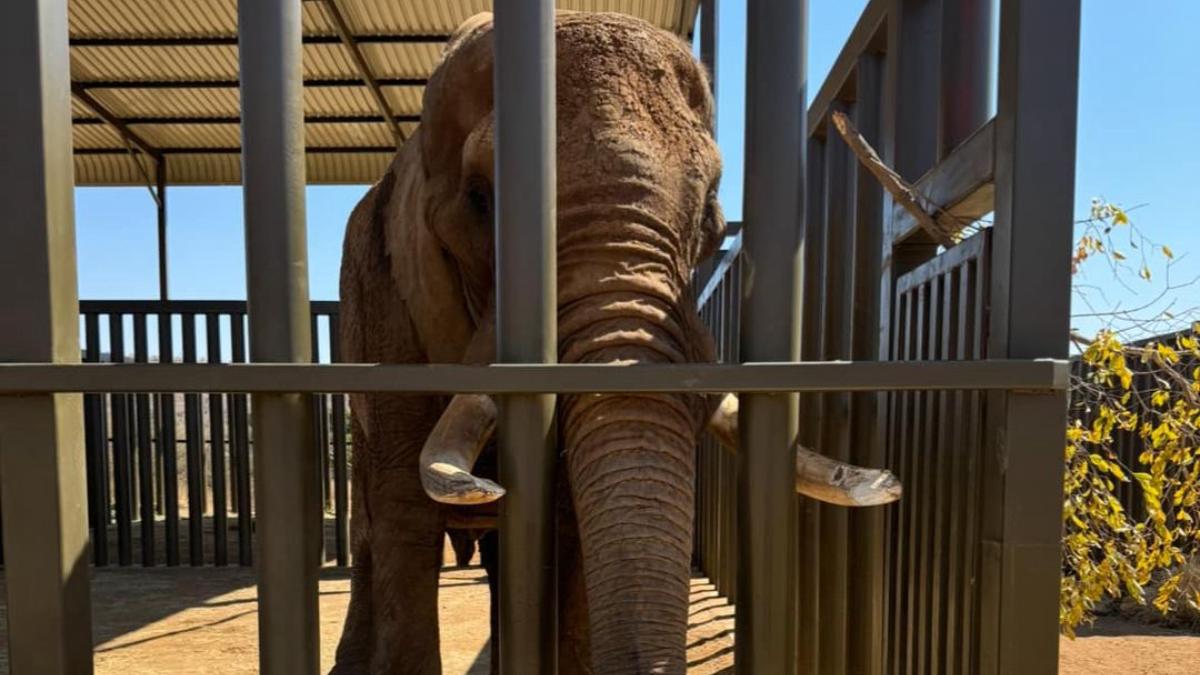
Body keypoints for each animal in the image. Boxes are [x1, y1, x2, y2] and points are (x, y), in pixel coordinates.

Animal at [331, 11, 900, 675]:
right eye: (479, 200)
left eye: (710, 211)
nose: (892, 483)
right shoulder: (387, 311)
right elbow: (405, 517)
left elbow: (570, 529)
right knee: (374, 530)